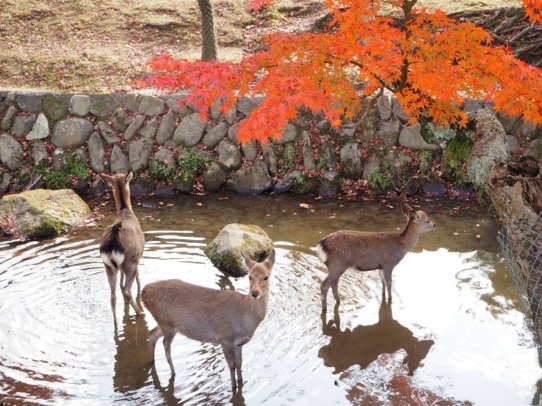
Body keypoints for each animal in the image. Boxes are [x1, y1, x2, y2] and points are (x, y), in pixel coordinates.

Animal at [98, 172, 144, 320]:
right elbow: (138, 280)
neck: (126, 210)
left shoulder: (120, 267)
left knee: (113, 296)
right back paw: (140, 312)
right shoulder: (139, 256)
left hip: (108, 266)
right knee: (128, 290)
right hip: (131, 261)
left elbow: (120, 283)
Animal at [142, 249, 276, 392]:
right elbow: (232, 365)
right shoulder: (224, 338)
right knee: (165, 345)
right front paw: (233, 387)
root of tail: (143, 293)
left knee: (152, 334)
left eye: (266, 277)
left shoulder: (238, 343)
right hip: (167, 323)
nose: (254, 293)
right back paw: (173, 373)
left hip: (167, 324)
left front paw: (241, 383)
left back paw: (151, 362)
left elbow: (239, 364)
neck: (245, 319)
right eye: (249, 276)